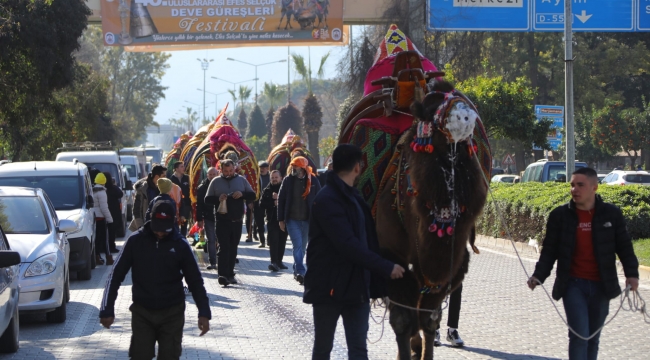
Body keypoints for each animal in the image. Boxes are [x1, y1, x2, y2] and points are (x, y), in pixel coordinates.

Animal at [336, 23, 488, 358]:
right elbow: (404, 320)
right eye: (432, 110)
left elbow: (430, 318)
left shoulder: (454, 265)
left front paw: (424, 345)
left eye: (457, 96)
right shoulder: (389, 255)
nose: (464, 114)